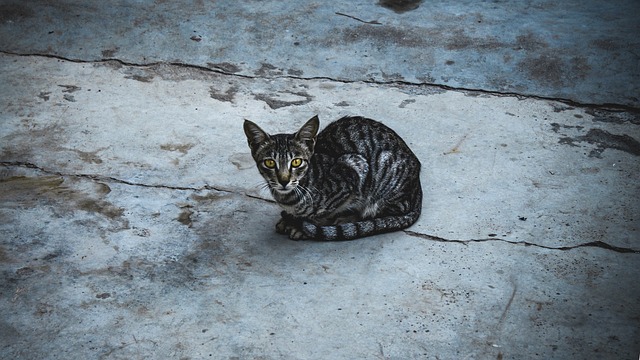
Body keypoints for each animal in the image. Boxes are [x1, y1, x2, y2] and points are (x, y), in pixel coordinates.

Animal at [242, 114, 422, 240]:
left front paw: (302, 226)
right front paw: (291, 219)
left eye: (296, 162)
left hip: (382, 178)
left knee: (383, 211)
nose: (284, 180)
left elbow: (323, 214)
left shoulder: (353, 170)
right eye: (270, 163)